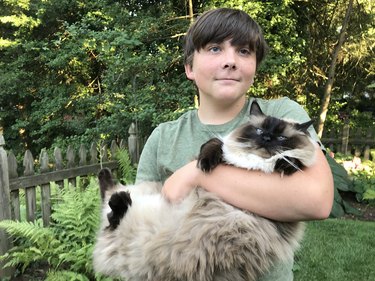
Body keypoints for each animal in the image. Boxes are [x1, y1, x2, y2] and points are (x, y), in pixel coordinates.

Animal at [93, 99, 318, 278]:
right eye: (260, 131)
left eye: (282, 138)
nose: (267, 139)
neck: (254, 163)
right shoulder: (222, 151)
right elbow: (214, 144)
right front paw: (207, 163)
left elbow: (292, 160)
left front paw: (286, 164)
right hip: (146, 194)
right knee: (110, 208)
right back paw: (108, 181)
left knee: (111, 213)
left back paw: (117, 195)